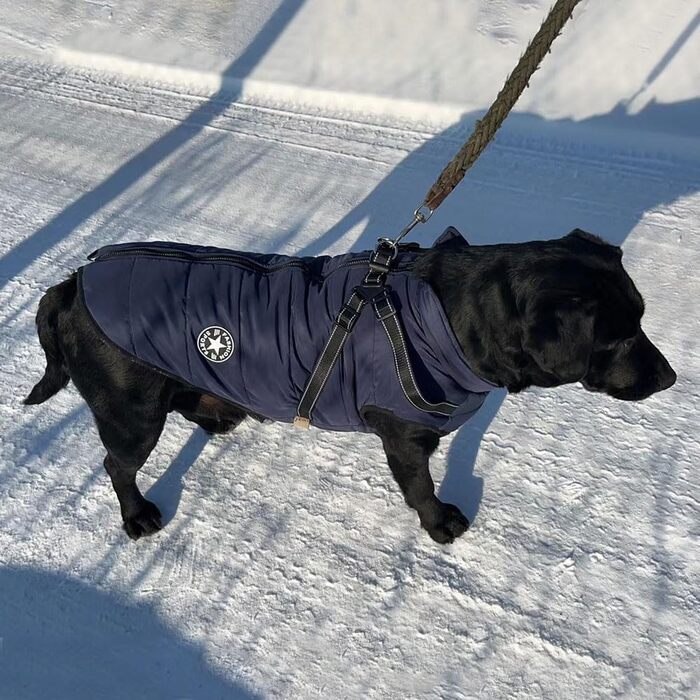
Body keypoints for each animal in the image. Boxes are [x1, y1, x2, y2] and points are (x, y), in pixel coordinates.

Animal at [24, 230, 676, 540]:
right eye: (618, 338)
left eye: (642, 318)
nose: (670, 377)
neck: (454, 317)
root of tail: (70, 283)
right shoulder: (404, 435)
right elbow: (419, 486)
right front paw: (439, 523)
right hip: (131, 409)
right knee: (118, 464)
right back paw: (137, 516)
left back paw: (216, 414)